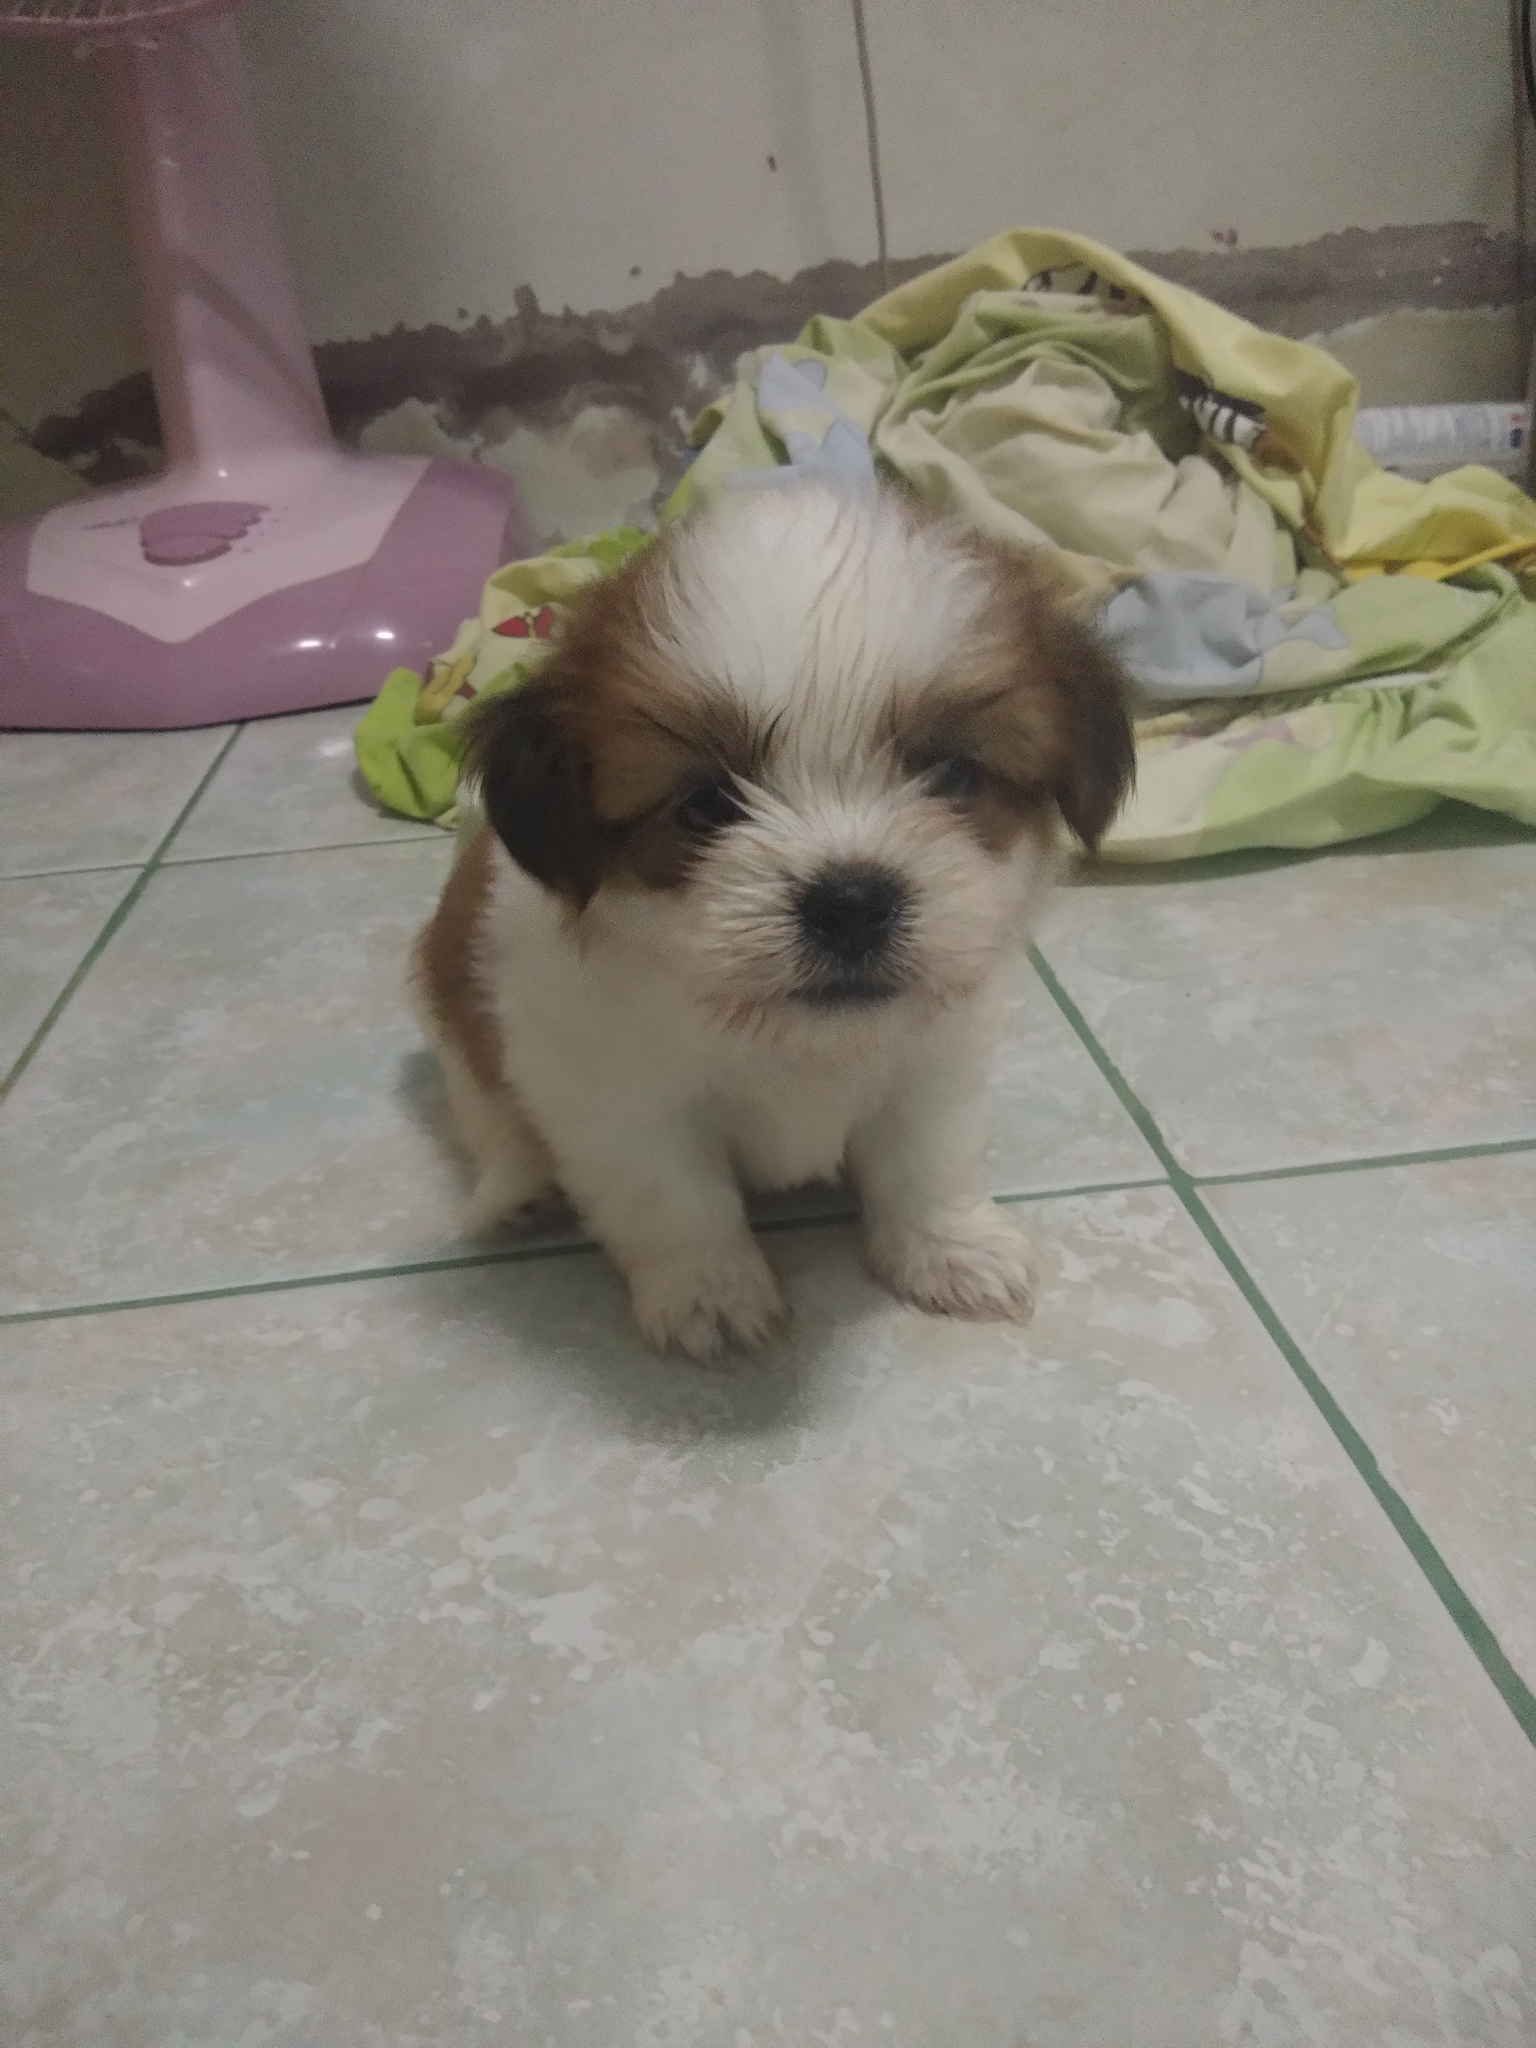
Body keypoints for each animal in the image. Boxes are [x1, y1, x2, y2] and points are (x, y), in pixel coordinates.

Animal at [411, 480, 1134, 1361]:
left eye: (952, 774)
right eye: (706, 803)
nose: (851, 902)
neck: (793, 1038)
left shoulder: (938, 1057)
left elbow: (930, 1159)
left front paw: (950, 1249)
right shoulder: (611, 1096)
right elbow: (672, 1196)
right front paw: (710, 1292)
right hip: (457, 1034)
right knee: (493, 1121)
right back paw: (519, 1191)